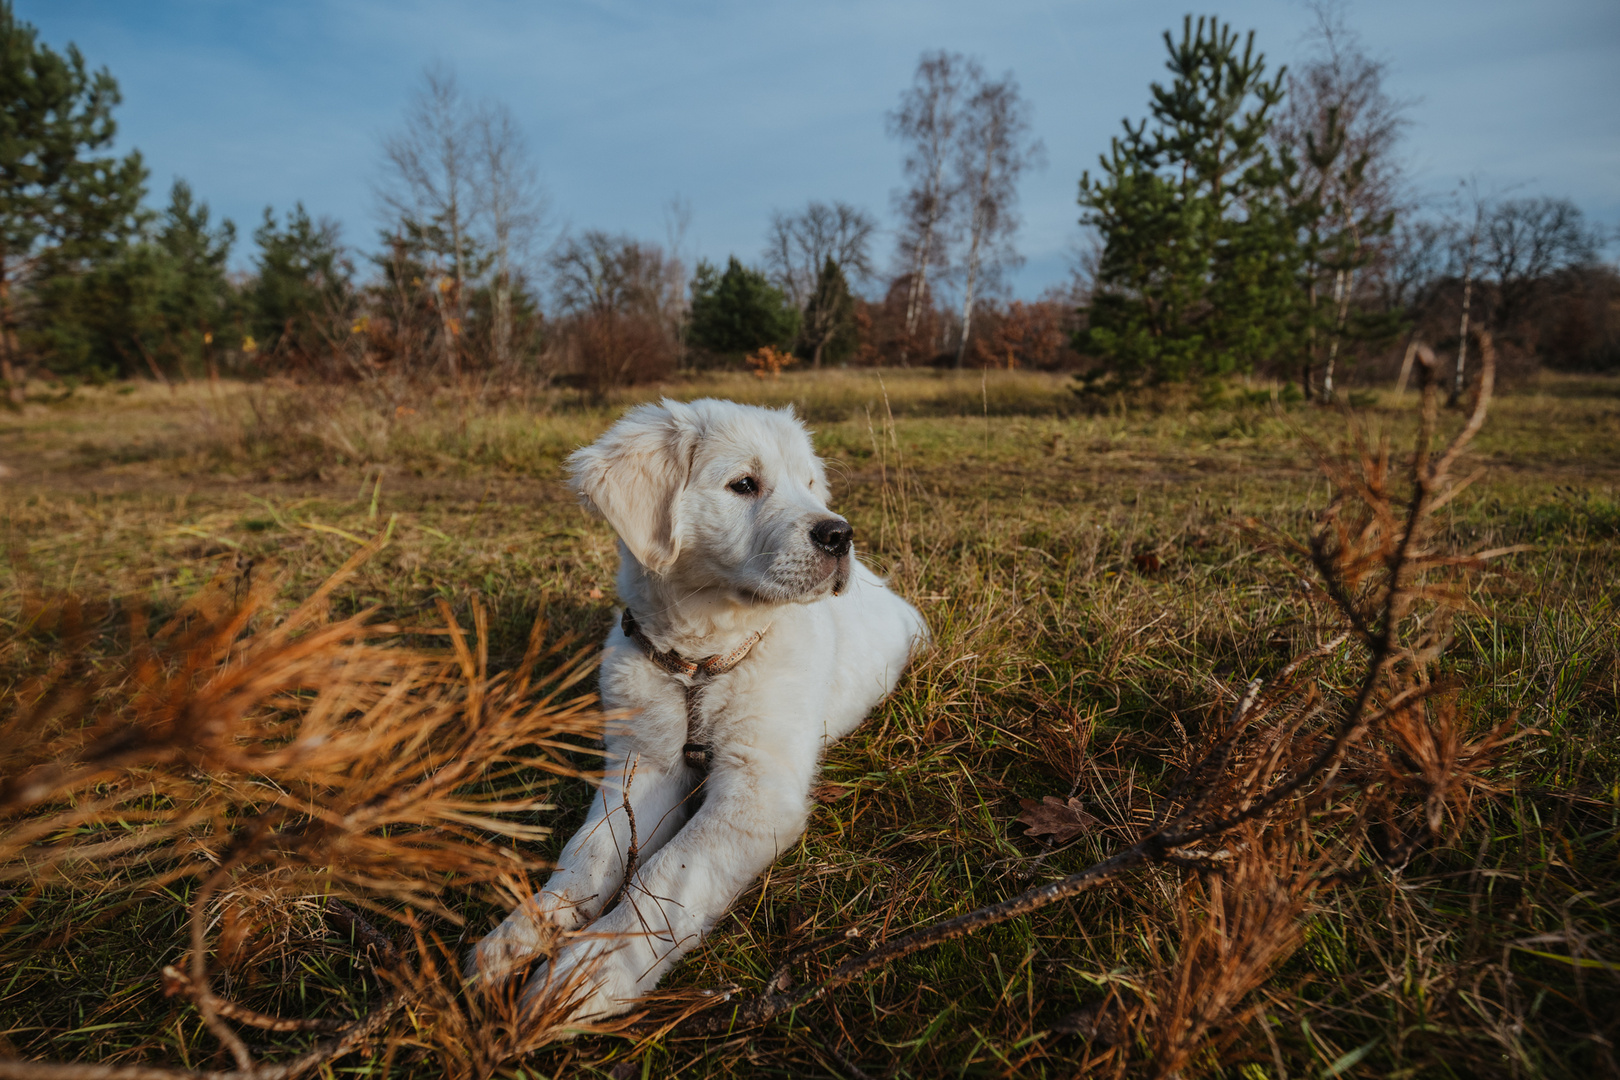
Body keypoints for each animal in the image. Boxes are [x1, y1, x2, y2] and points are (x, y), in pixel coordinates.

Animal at [469, 399, 926, 1023]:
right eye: (744, 484)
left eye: (809, 484)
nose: (840, 534)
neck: (699, 662)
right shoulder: (643, 762)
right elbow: (588, 850)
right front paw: (522, 932)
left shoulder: (757, 790)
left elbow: (668, 876)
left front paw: (586, 973)